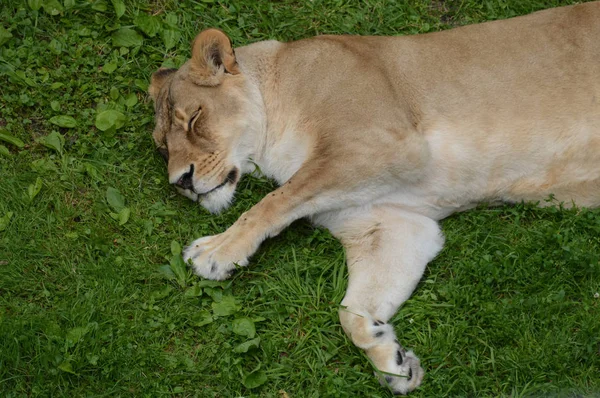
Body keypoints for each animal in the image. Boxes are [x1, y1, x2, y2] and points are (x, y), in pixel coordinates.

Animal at [149, 2, 600, 394]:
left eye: (193, 119)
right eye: (162, 147)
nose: (181, 181)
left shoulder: (383, 145)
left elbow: (274, 201)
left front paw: (216, 252)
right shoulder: (391, 223)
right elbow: (352, 309)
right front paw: (391, 359)